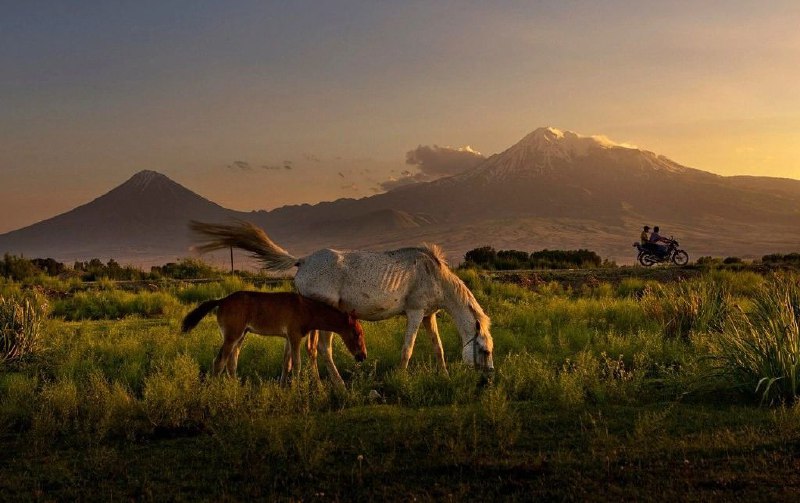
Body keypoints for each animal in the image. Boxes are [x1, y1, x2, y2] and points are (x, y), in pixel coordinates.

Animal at [192, 221, 494, 386]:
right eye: (485, 350)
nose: (488, 378)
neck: (433, 273)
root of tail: (302, 261)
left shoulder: (429, 315)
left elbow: (438, 348)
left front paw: (445, 376)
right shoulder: (415, 312)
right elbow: (407, 349)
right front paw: (400, 378)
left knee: (300, 350)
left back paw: (297, 382)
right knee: (322, 350)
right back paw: (337, 385)